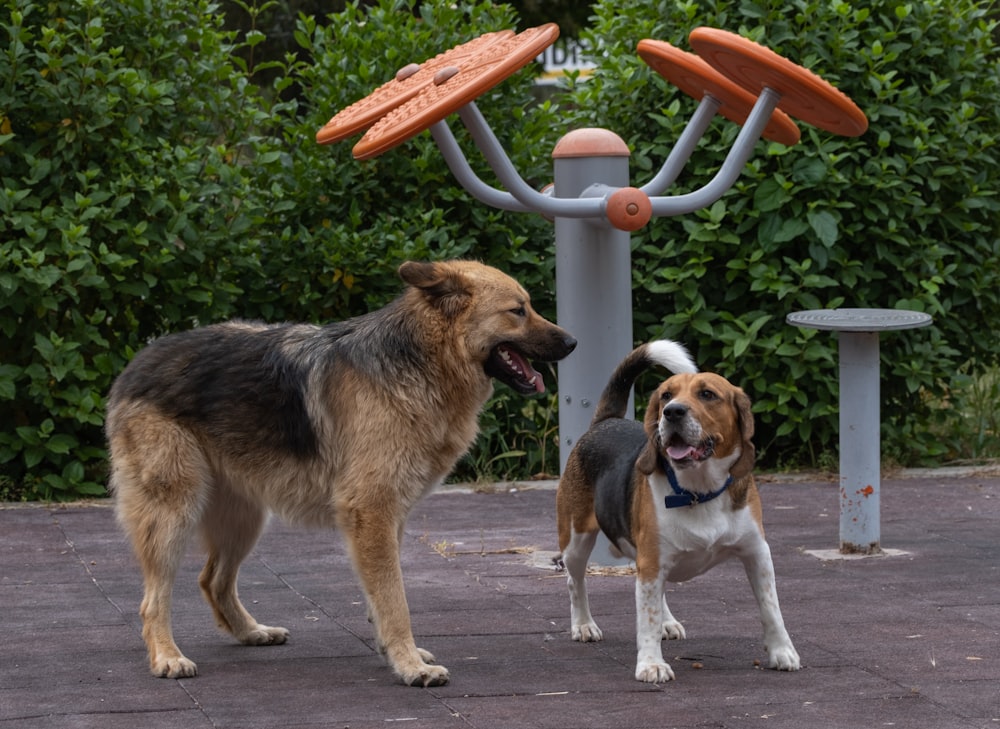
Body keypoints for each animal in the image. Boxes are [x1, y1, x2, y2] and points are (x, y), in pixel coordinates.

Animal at [105, 258, 576, 684]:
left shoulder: (389, 518)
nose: (573, 342)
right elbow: (394, 599)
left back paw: (251, 632)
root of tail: (138, 360)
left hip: (246, 518)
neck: (421, 358)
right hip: (174, 515)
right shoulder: (371, 513)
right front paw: (410, 665)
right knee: (154, 600)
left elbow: (380, 597)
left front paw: (395, 653)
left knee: (213, 580)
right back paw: (167, 657)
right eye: (518, 310)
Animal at [560, 342, 800, 684]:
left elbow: (771, 607)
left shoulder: (757, 553)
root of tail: (605, 421)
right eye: (665, 396)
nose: (672, 411)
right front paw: (651, 664)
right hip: (577, 539)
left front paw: (782, 651)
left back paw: (666, 621)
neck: (698, 491)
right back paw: (583, 624)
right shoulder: (650, 560)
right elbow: (645, 618)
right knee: (575, 581)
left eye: (707, 394)